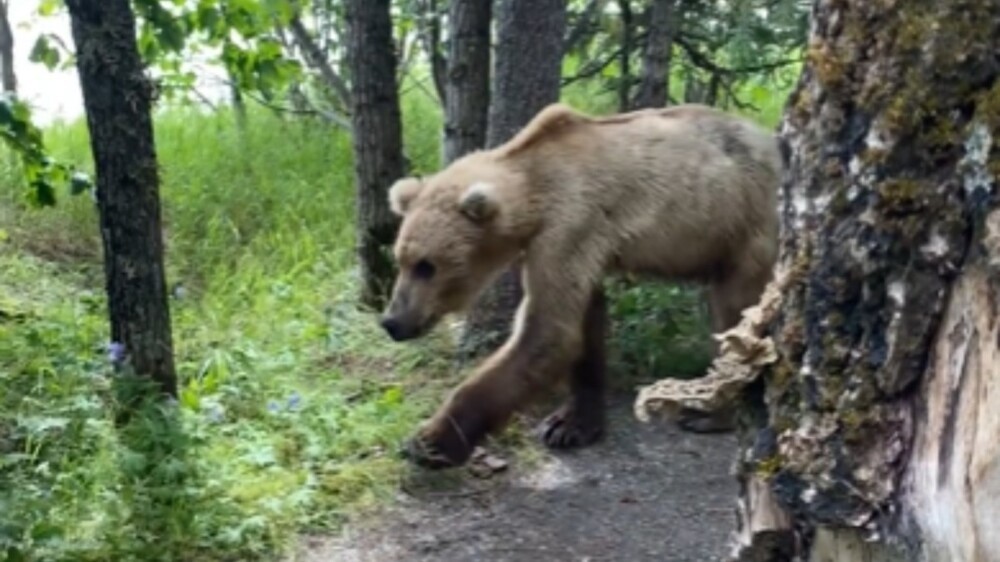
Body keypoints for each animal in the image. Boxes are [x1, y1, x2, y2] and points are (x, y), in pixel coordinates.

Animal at [378, 101, 776, 468]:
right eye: (401, 260)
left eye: (427, 266)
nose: (393, 321)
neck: (533, 196)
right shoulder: (569, 251)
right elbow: (584, 326)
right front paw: (571, 425)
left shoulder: (569, 227)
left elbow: (546, 335)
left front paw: (427, 442)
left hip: (745, 229)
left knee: (735, 312)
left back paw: (709, 414)